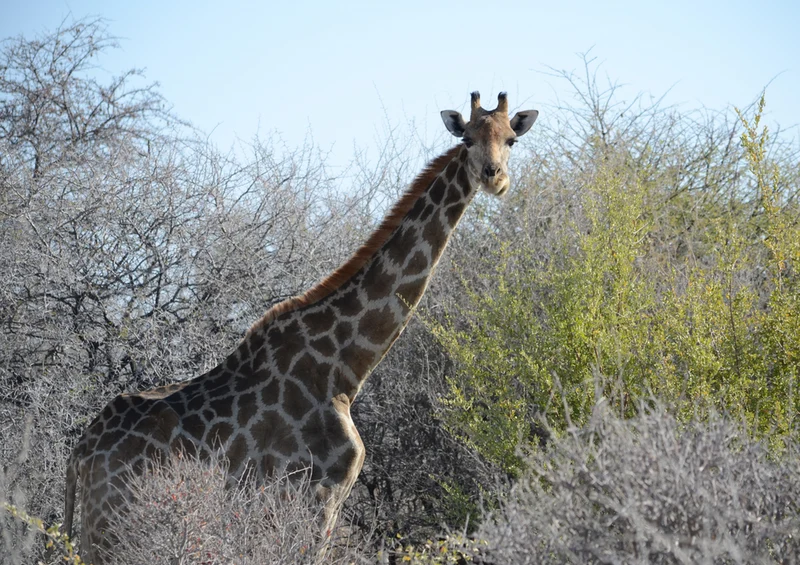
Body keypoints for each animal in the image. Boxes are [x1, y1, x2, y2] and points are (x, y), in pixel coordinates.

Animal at [63, 91, 538, 563]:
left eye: (511, 140)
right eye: (467, 139)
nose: (495, 178)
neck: (346, 369)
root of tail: (81, 450)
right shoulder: (315, 497)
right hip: (114, 526)